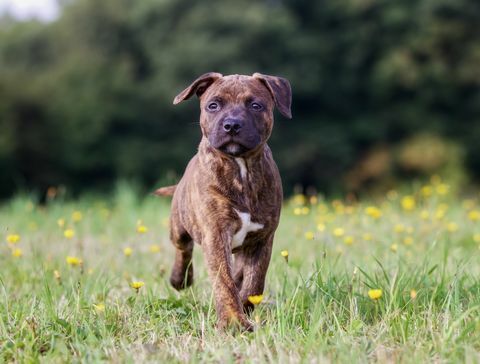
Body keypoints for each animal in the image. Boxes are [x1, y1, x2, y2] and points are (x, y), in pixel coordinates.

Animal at [157, 72, 292, 332]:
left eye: (255, 105)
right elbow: (224, 282)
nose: (232, 125)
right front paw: (233, 323)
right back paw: (180, 279)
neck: (241, 168)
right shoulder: (216, 234)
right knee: (183, 248)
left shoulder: (262, 239)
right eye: (213, 105)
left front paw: (246, 307)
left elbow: (254, 282)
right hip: (178, 225)